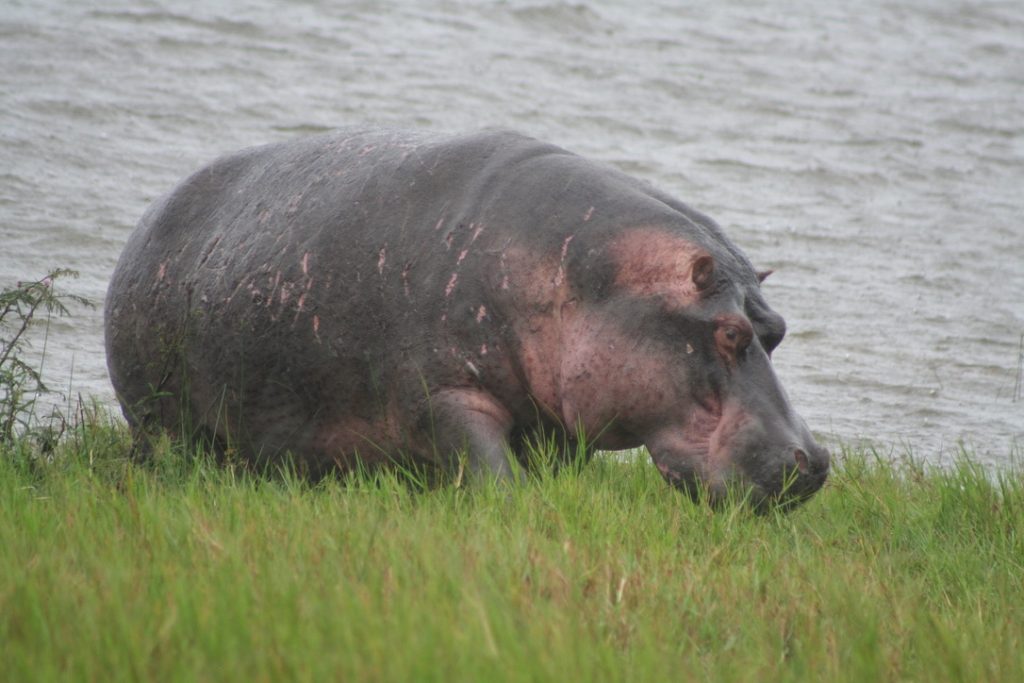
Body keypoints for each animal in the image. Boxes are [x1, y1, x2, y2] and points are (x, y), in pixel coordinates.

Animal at [103, 129, 827, 507]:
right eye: (729, 332)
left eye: (778, 330)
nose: (816, 461)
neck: (583, 278)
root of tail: (148, 218)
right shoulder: (445, 395)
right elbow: (491, 472)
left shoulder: (555, 420)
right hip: (159, 419)